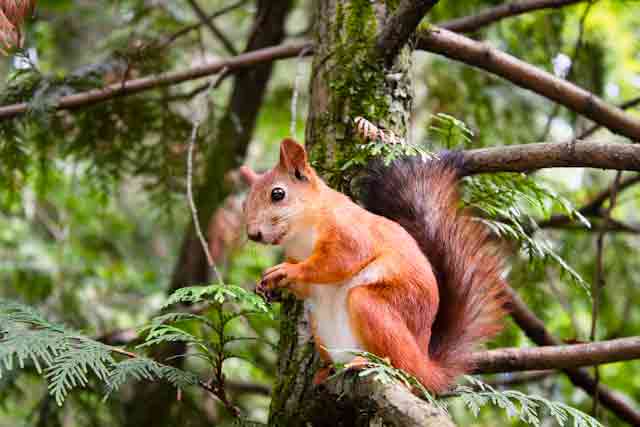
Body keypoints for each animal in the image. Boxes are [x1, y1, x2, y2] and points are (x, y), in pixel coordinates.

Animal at [240, 138, 510, 394]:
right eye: (244, 204)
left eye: (278, 194)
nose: (253, 234)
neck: (302, 233)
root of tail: (427, 368)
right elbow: (307, 287)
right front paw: (270, 285)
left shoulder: (350, 233)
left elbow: (338, 262)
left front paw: (287, 271)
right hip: (319, 323)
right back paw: (326, 371)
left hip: (373, 308)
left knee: (400, 366)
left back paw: (368, 363)